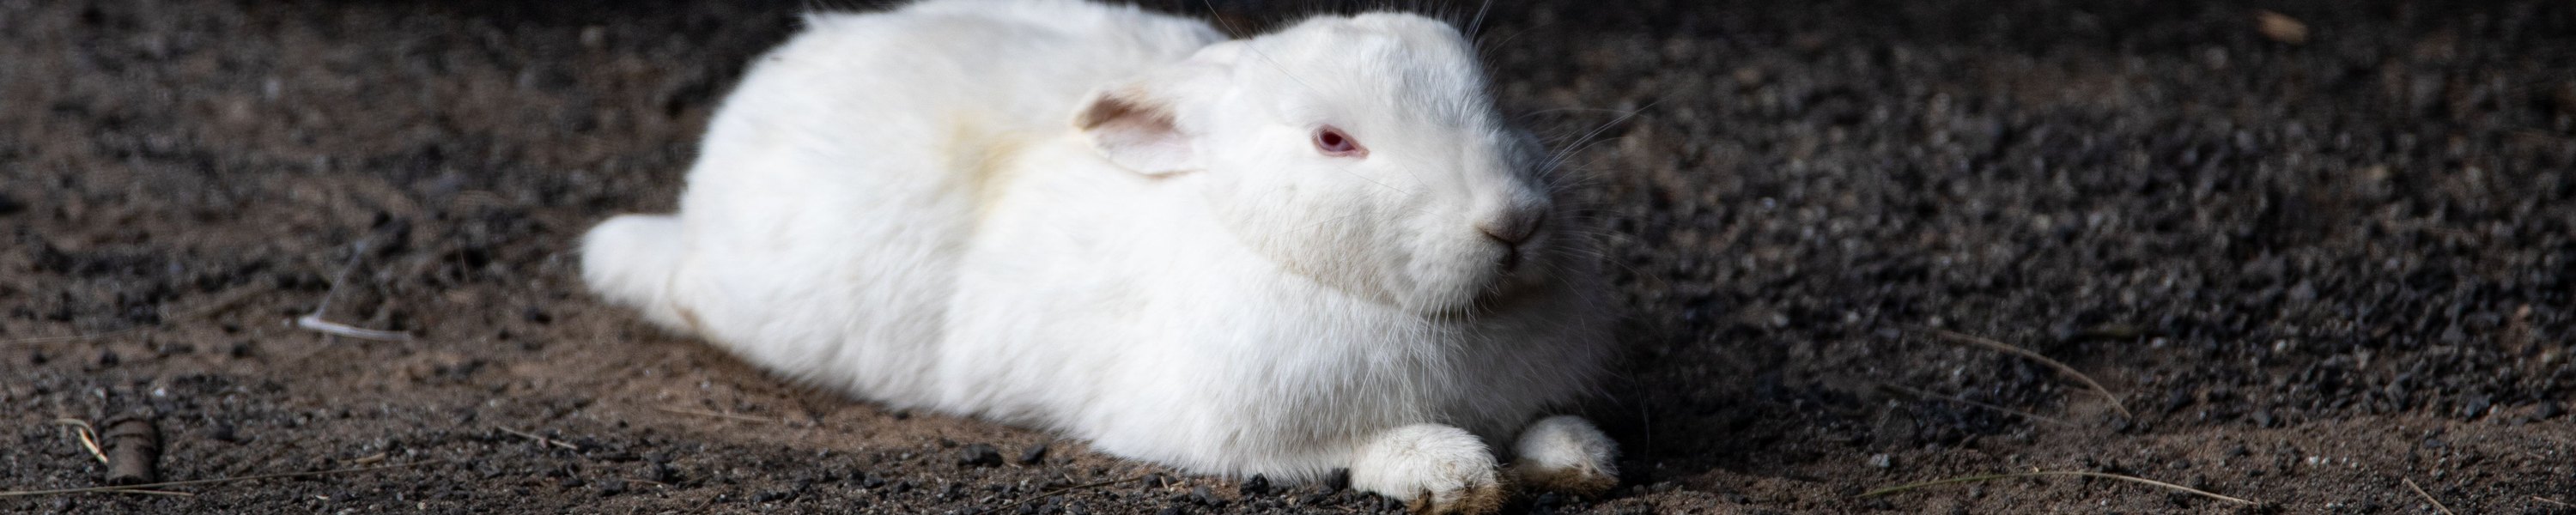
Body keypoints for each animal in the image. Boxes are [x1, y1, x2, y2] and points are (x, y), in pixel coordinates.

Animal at [581, 1, 1619, 512]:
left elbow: (1552, 430)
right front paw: (1449, 474)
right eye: (1333, 141)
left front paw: (1581, 458)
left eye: (1492, 99)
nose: (1513, 221)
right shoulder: (1240, 434)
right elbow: (1360, 448)